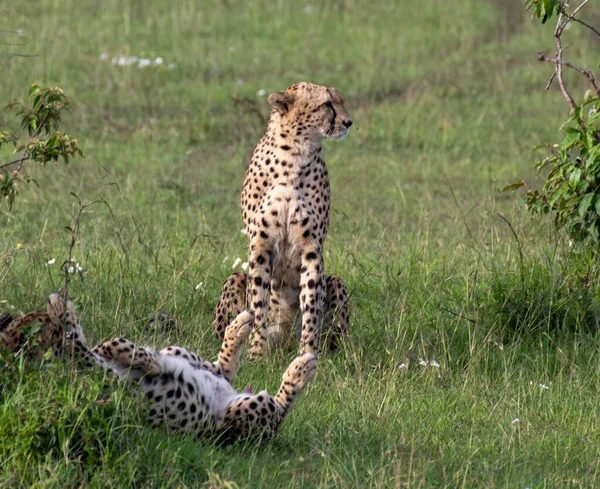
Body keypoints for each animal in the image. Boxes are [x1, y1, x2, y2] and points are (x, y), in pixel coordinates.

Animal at [1, 294, 318, 442]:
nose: (42, 315)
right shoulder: (108, 384)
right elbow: (87, 345)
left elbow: (108, 343)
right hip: (238, 416)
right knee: (278, 409)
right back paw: (301, 367)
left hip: (182, 352)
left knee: (220, 368)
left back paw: (240, 325)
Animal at [212, 82, 352, 358]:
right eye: (327, 104)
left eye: (340, 102)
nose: (348, 122)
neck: (295, 155)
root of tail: (283, 341)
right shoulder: (260, 245)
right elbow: (258, 303)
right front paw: (257, 353)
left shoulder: (312, 249)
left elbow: (310, 303)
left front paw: (308, 352)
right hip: (235, 280)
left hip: (336, 282)